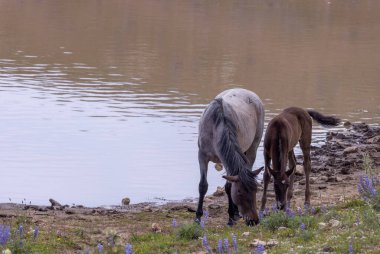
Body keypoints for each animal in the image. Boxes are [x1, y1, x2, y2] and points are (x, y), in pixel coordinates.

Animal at [196, 88, 264, 226]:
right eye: (240, 192)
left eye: (255, 191)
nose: (254, 220)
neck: (216, 126)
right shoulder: (202, 156)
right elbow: (203, 186)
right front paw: (198, 217)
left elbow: (228, 187)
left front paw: (231, 217)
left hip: (253, 147)